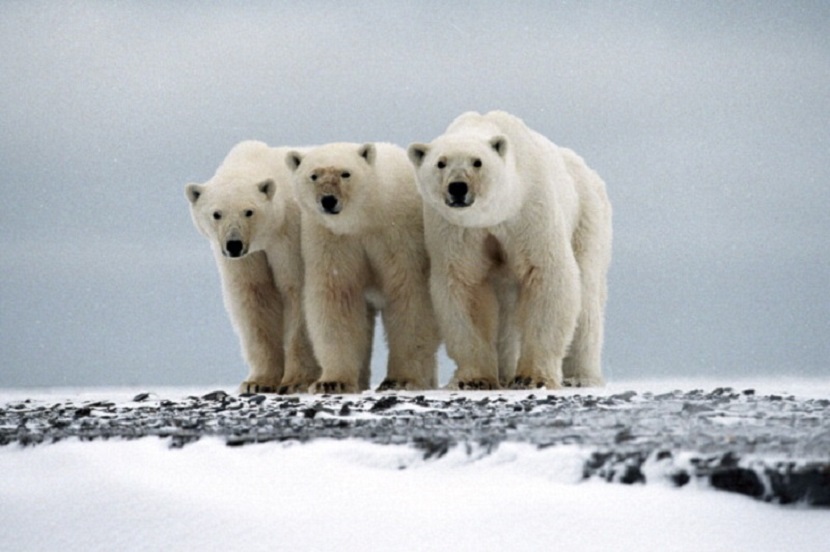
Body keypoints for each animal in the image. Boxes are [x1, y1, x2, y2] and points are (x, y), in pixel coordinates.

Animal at [187, 140, 320, 394]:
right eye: (216, 214)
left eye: (249, 211)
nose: (234, 244)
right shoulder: (247, 259)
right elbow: (255, 297)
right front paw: (258, 382)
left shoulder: (290, 235)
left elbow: (296, 291)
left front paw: (295, 381)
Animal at [288, 140, 442, 394]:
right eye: (314, 175)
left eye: (345, 173)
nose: (328, 200)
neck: (365, 218)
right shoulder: (332, 241)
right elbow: (336, 299)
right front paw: (332, 382)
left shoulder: (400, 235)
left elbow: (410, 296)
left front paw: (401, 379)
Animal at [408, 110, 612, 390]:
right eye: (441, 163)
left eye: (477, 162)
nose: (458, 187)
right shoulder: (456, 229)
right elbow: (464, 285)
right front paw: (473, 380)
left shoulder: (530, 210)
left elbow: (547, 274)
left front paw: (532, 378)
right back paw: (504, 374)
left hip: (587, 216)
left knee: (587, 299)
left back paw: (580, 377)